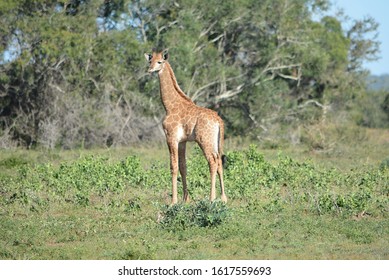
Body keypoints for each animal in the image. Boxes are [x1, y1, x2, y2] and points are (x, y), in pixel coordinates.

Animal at [144, 49, 226, 205]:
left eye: (160, 62)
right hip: (214, 141)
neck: (169, 106)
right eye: (150, 60)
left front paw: (173, 201)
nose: (150, 69)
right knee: (219, 161)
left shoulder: (171, 137)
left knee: (212, 162)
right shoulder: (182, 141)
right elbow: (183, 167)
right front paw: (185, 199)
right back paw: (224, 198)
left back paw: (212, 198)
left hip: (204, 140)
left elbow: (173, 166)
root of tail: (219, 121)